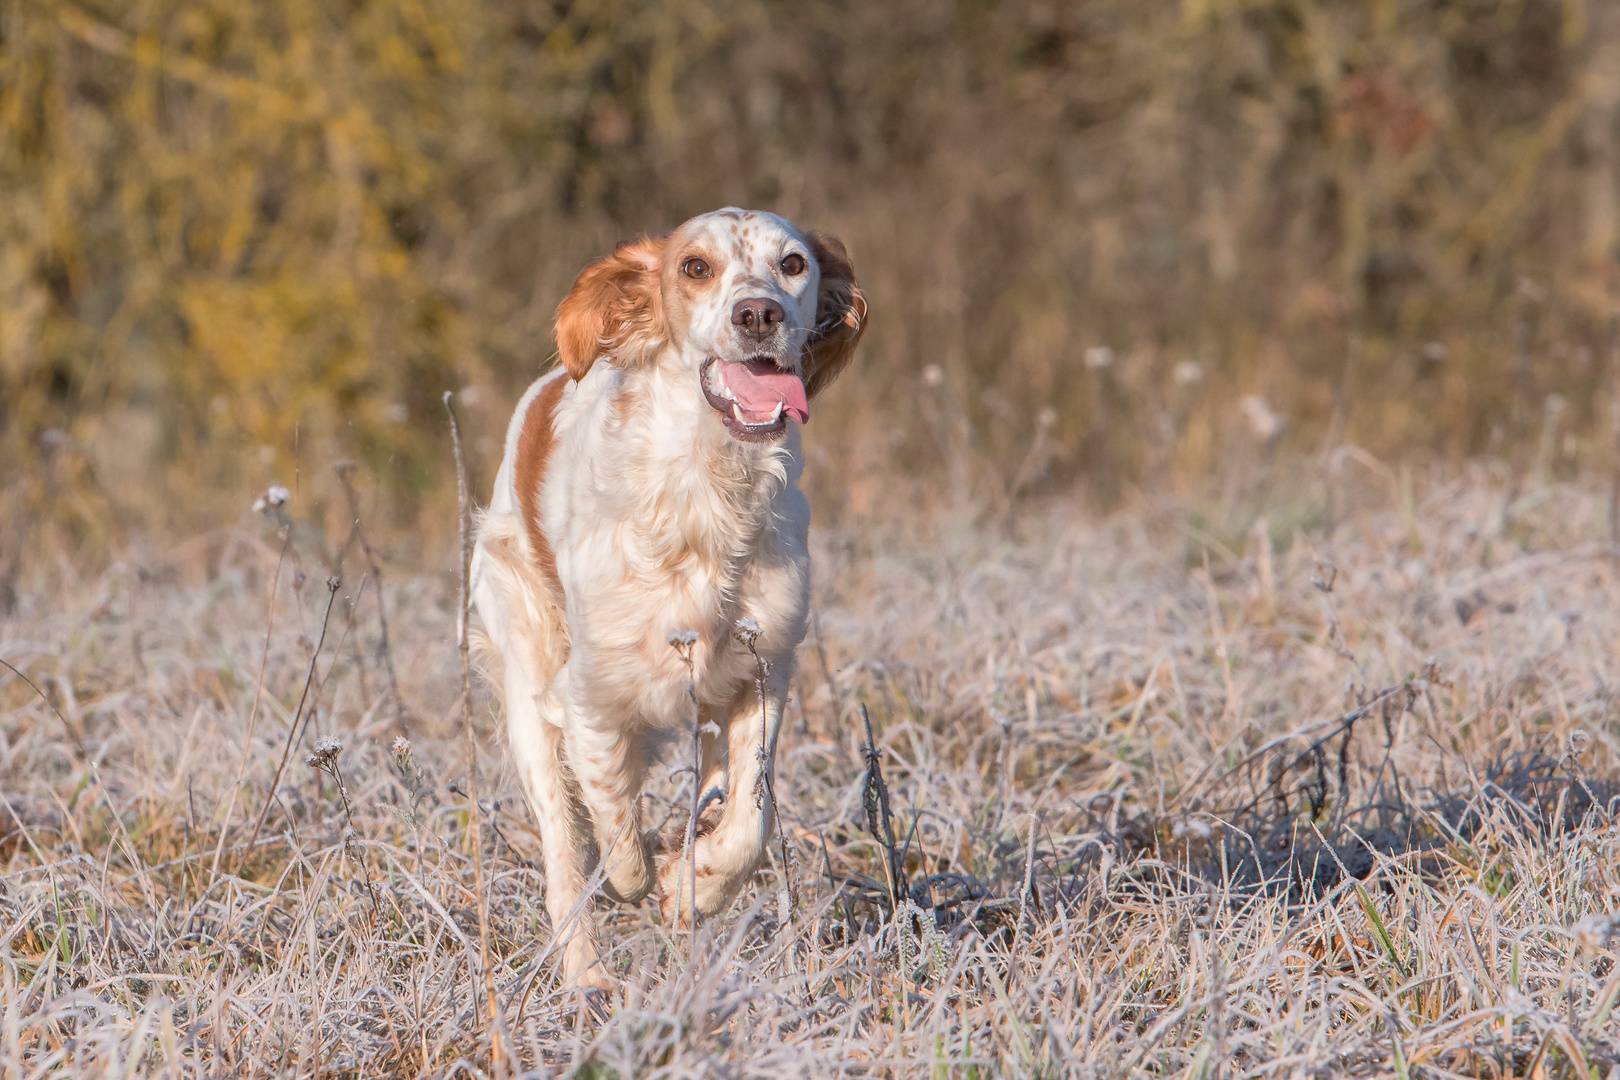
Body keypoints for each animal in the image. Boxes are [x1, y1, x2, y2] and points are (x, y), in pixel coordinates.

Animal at [473, 204, 861, 990]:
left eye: (794, 264)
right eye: (694, 267)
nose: (758, 314)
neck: (710, 492)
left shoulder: (762, 673)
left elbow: (749, 820)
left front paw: (695, 885)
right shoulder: (587, 699)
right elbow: (614, 827)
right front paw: (644, 875)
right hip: (526, 685)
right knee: (565, 860)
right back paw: (588, 982)